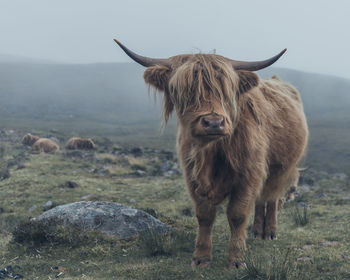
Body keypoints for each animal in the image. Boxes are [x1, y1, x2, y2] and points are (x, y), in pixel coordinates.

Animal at [113, 40, 308, 268]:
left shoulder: (249, 173)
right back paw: (257, 231)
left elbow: (238, 214)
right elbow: (204, 215)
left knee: (272, 198)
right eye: (184, 90)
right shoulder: (192, 175)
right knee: (261, 199)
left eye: (226, 90)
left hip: (281, 169)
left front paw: (236, 259)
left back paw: (269, 232)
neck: (212, 153)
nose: (214, 122)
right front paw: (201, 257)